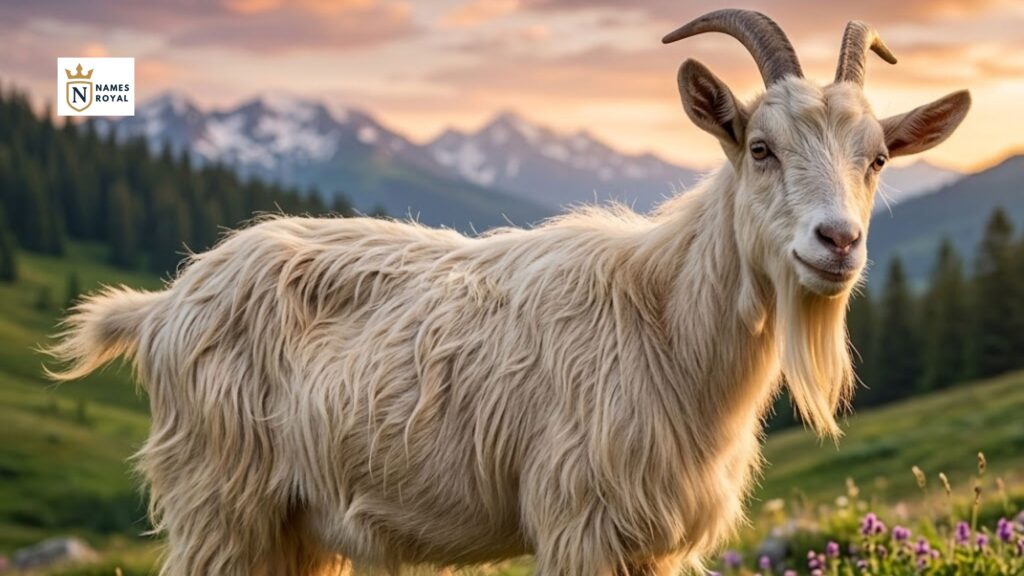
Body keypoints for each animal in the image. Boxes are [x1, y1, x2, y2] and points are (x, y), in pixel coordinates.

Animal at [49, 10, 970, 576]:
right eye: (760, 148)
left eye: (877, 158)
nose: (837, 242)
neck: (666, 323)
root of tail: (166, 304)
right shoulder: (579, 521)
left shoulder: (660, 542)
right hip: (220, 503)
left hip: (293, 526)